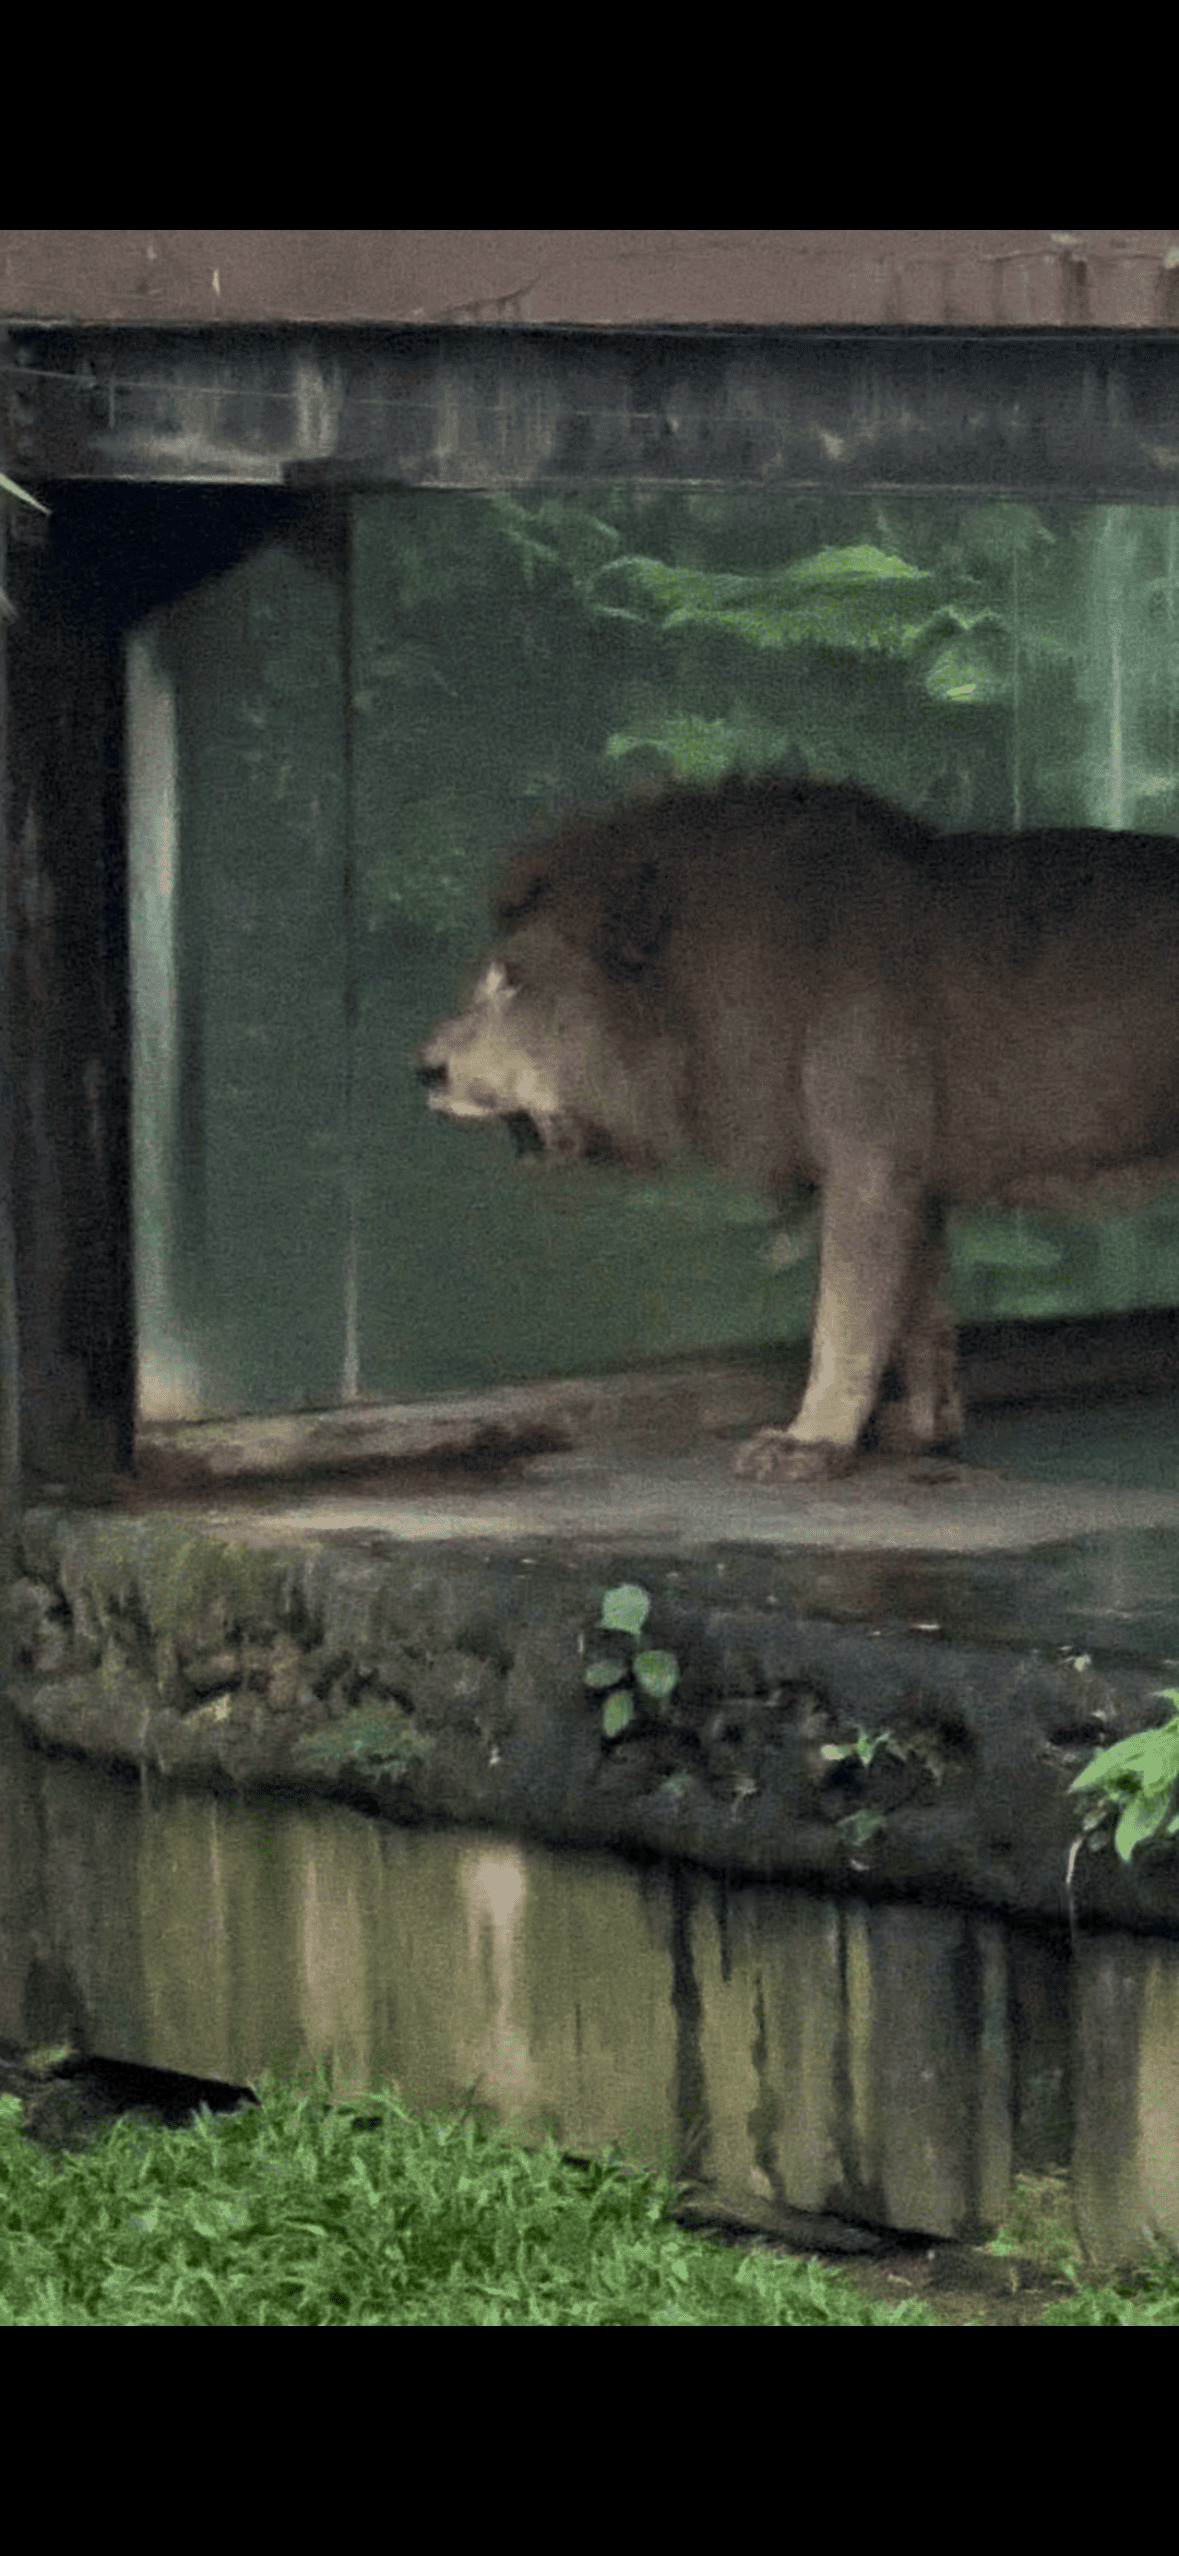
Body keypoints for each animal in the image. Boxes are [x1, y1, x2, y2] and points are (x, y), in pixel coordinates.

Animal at [418, 776, 1179, 1482]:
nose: (423, 1069)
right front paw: (922, 1432)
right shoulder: (911, 1178)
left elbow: (845, 1317)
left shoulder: (868, 1166)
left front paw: (809, 1443)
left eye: (511, 983)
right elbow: (919, 1321)